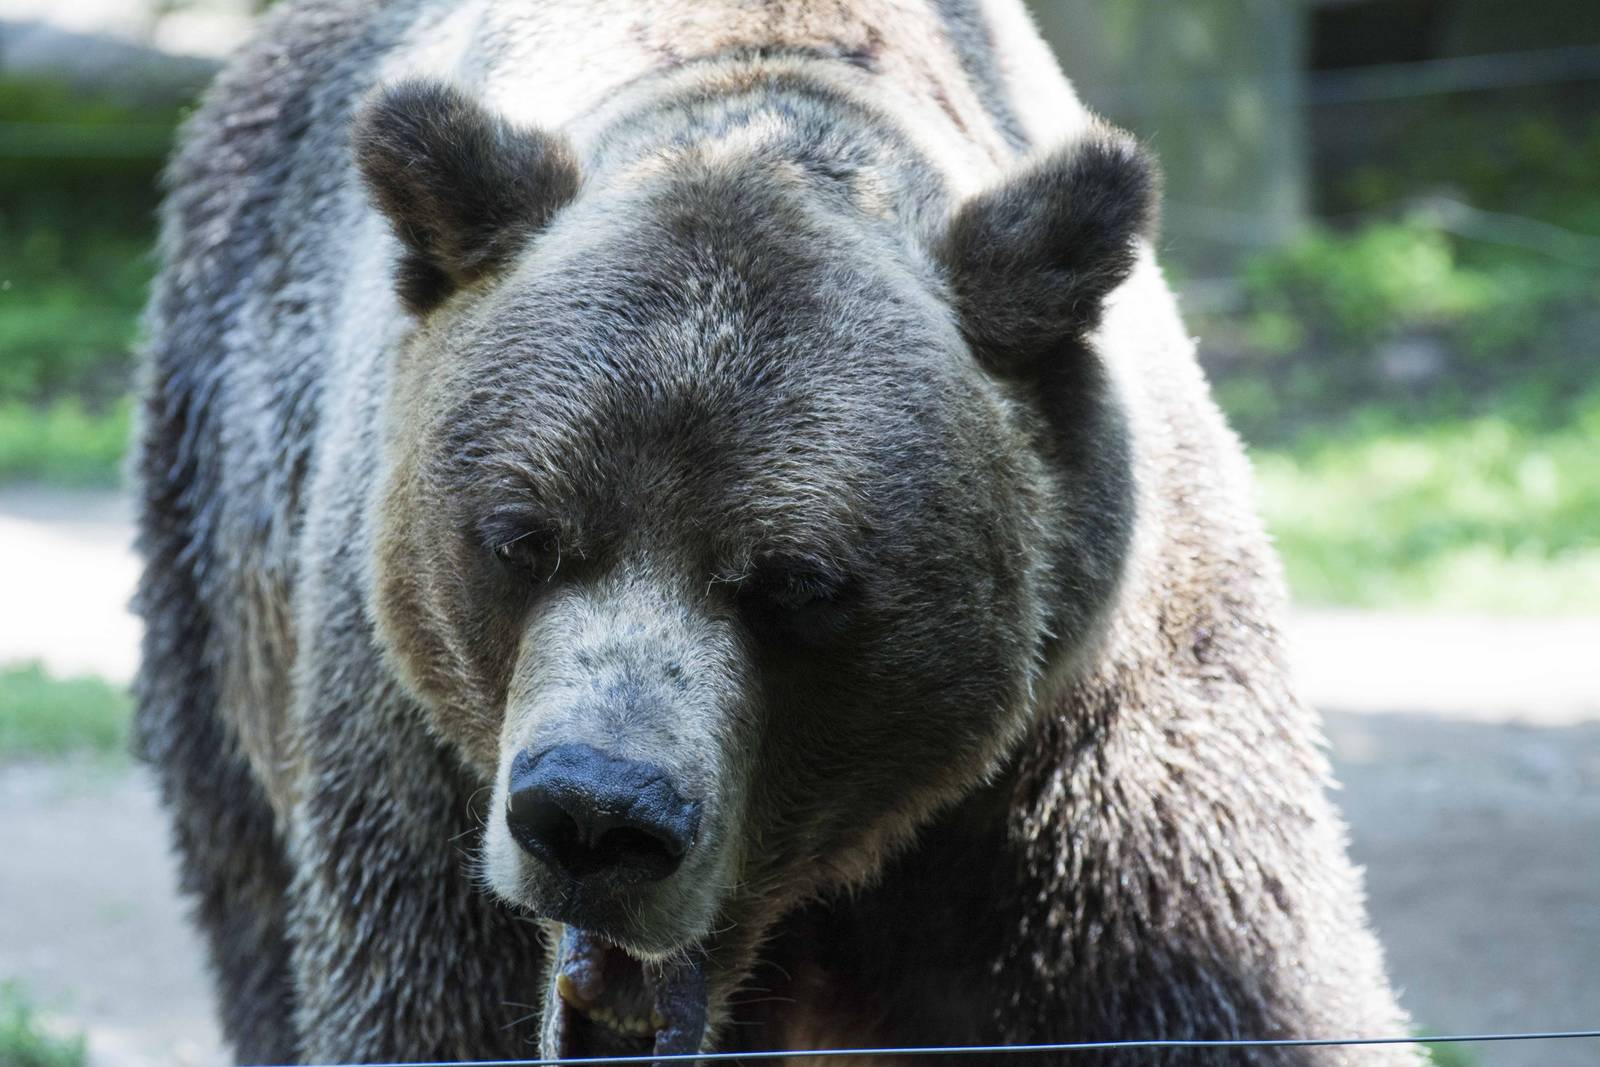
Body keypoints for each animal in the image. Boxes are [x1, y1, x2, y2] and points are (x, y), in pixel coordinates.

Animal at [132, 0, 1422, 1064]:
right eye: (522, 535)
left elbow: (1213, 989)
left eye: (799, 581)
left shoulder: (1086, 755)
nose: (593, 816)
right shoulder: (416, 768)